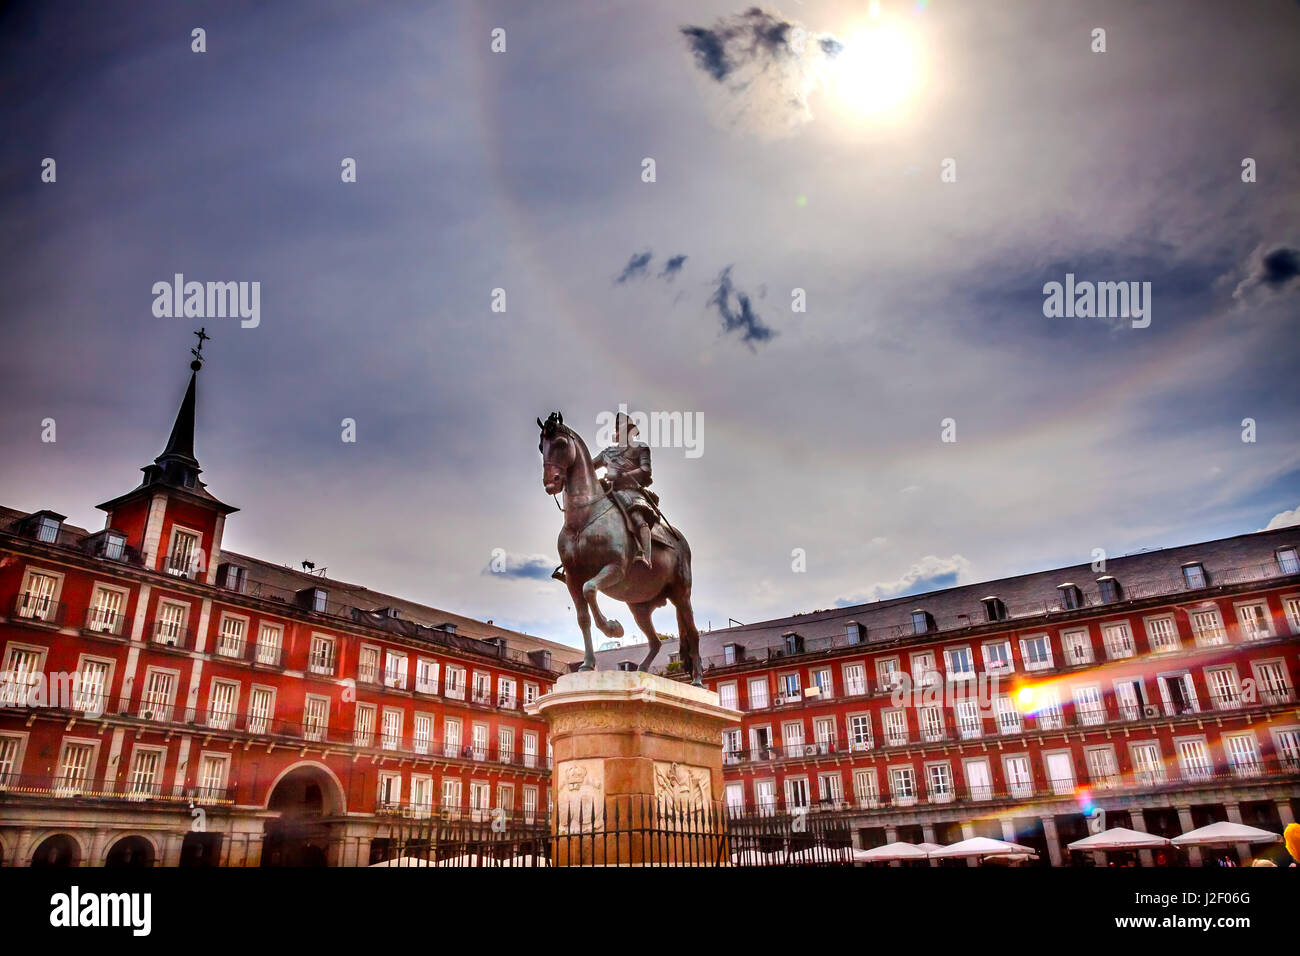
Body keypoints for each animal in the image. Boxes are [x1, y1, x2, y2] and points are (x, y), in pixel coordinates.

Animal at [535, 416, 707, 686]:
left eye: (561, 443)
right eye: (542, 447)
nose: (551, 482)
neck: (583, 518)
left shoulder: (615, 568)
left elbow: (590, 589)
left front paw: (613, 628)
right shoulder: (573, 578)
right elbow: (583, 618)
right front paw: (587, 665)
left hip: (681, 594)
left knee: (692, 632)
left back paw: (698, 681)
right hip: (639, 605)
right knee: (655, 641)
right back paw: (642, 670)